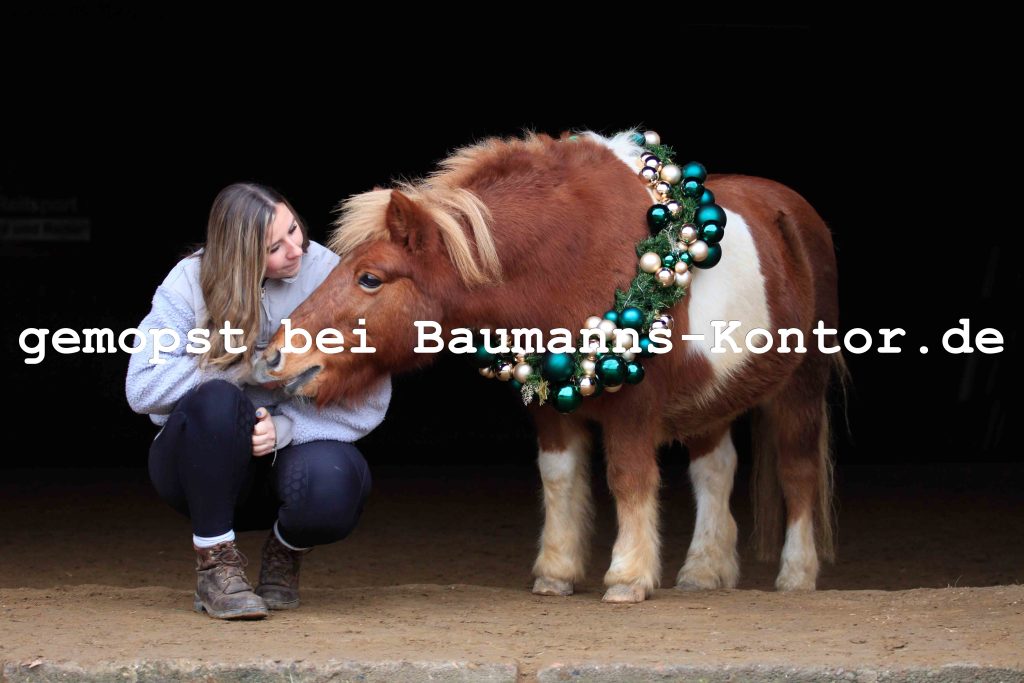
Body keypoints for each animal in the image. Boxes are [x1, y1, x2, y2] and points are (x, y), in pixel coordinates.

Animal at [251, 128, 848, 603]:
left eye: (370, 278)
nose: (274, 354)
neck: (575, 251)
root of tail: (797, 216)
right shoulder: (550, 407)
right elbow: (559, 479)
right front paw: (556, 572)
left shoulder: (634, 407)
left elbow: (629, 477)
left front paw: (627, 577)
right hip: (711, 397)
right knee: (715, 470)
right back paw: (704, 570)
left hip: (799, 390)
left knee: (798, 471)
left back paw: (796, 575)